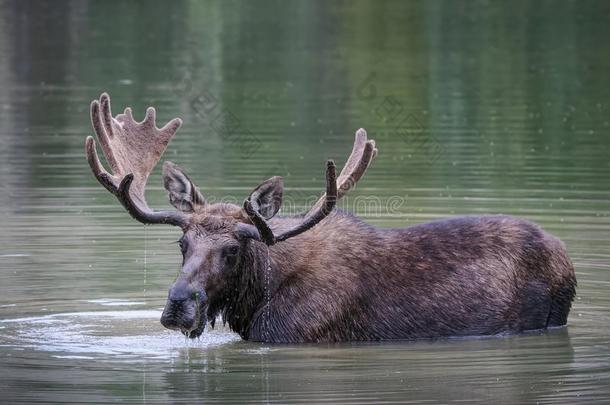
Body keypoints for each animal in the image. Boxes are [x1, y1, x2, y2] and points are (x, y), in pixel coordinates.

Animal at [85, 94, 576, 340]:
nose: (178, 305)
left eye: (232, 250)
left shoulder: (294, 336)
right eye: (182, 243)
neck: (255, 296)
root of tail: (566, 257)